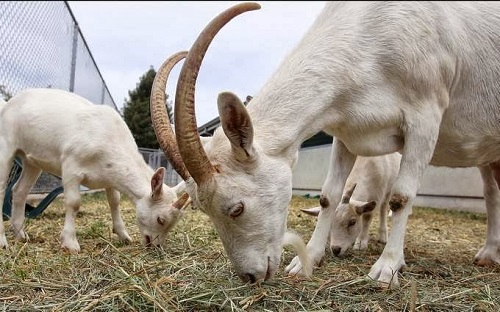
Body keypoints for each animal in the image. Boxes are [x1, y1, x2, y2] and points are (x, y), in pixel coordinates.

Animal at [151, 1, 500, 286]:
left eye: (237, 208)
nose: (250, 276)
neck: (373, 31)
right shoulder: (346, 132)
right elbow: (329, 196)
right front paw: (306, 261)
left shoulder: (425, 117)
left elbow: (401, 197)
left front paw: (387, 268)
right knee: (492, 193)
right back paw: (488, 253)